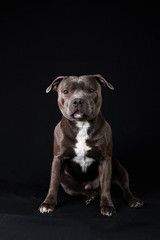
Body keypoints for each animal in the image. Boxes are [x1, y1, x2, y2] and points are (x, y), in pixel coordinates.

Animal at [39, 73, 144, 216]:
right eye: (65, 91)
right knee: (86, 191)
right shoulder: (58, 160)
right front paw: (48, 203)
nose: (77, 100)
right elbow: (53, 183)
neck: (82, 125)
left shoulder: (105, 160)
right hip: (67, 182)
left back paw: (133, 200)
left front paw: (107, 205)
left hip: (118, 166)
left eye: (91, 90)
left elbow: (106, 186)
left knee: (124, 188)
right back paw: (90, 198)